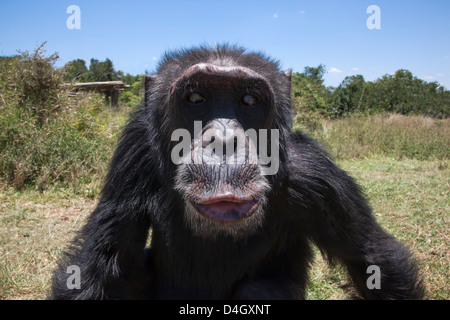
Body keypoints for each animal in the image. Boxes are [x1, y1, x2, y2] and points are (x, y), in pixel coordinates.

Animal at [50, 45, 426, 300]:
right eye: (196, 98)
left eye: (248, 101)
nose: (224, 139)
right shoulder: (133, 155)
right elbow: (101, 266)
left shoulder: (319, 177)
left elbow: (371, 261)